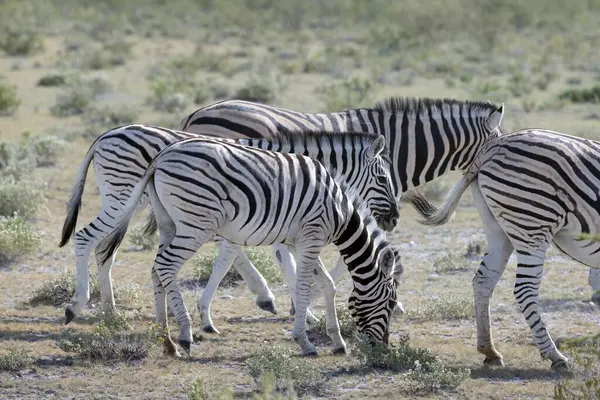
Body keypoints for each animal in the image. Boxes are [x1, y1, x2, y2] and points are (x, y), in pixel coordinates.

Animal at [59, 125, 398, 324]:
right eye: (383, 179)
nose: (394, 218)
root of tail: (105, 135)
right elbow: (282, 263)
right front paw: (301, 310)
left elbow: (236, 259)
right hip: (121, 197)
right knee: (85, 238)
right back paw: (78, 304)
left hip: (123, 203)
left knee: (104, 250)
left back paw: (110, 309)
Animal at [404, 128, 600, 368]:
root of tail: (492, 146)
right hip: (532, 224)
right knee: (525, 289)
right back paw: (554, 355)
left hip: (498, 229)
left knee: (483, 280)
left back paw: (489, 351)